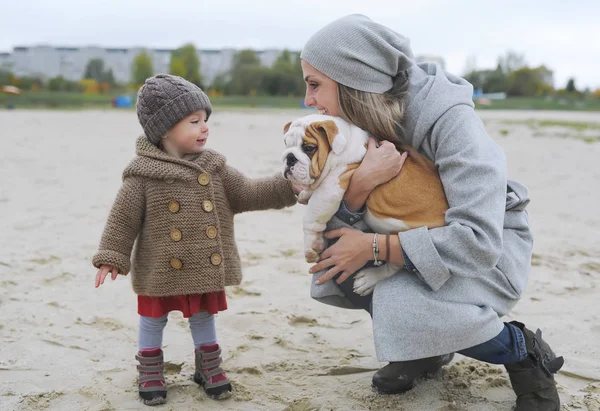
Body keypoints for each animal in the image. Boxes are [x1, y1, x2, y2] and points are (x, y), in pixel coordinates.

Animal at [284, 113, 448, 296]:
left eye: (309, 148)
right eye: (286, 144)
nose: (289, 157)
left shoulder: (332, 185)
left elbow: (312, 217)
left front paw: (311, 245)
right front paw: (305, 194)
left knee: (397, 259)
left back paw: (369, 279)